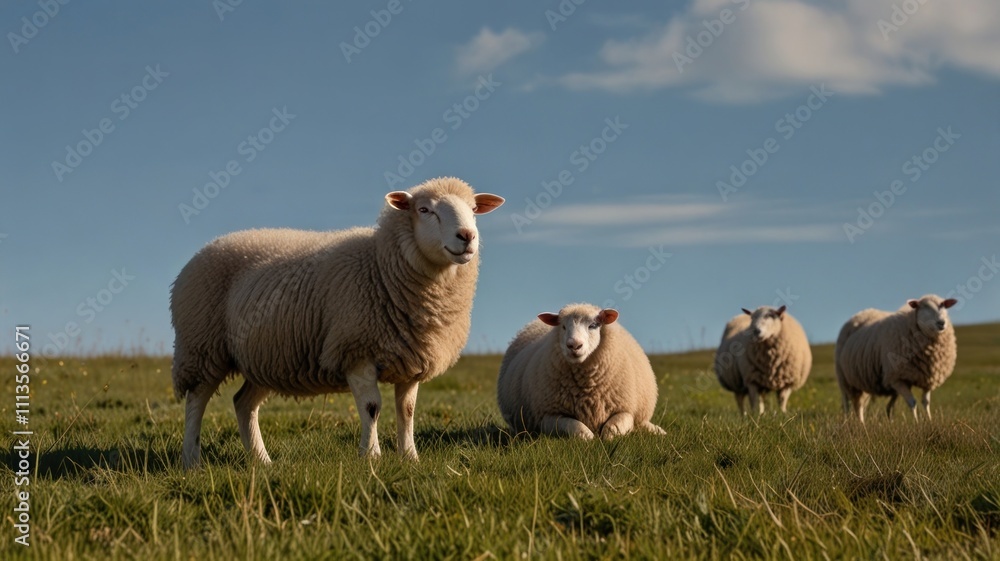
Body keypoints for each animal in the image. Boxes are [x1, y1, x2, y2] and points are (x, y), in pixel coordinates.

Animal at [170, 177, 504, 468]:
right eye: (425, 210)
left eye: (474, 209)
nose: (467, 236)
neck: (381, 263)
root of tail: (200, 253)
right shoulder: (356, 350)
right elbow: (372, 408)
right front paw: (371, 457)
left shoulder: (411, 360)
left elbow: (407, 411)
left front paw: (410, 458)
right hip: (201, 346)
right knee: (195, 401)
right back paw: (191, 460)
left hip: (264, 358)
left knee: (243, 403)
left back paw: (262, 461)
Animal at [496, 303, 666, 440]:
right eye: (563, 326)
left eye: (593, 325)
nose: (574, 345)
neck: (588, 389)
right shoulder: (547, 416)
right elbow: (578, 429)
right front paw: (590, 438)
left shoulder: (626, 409)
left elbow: (613, 428)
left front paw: (606, 437)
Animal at [835, 294, 958, 423]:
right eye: (924, 306)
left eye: (943, 305)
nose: (941, 322)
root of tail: (861, 313)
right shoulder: (897, 378)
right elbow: (912, 403)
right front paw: (917, 423)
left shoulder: (928, 378)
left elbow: (926, 402)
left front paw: (929, 421)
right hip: (844, 378)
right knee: (848, 403)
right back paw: (850, 422)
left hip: (863, 380)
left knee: (861, 405)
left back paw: (862, 424)